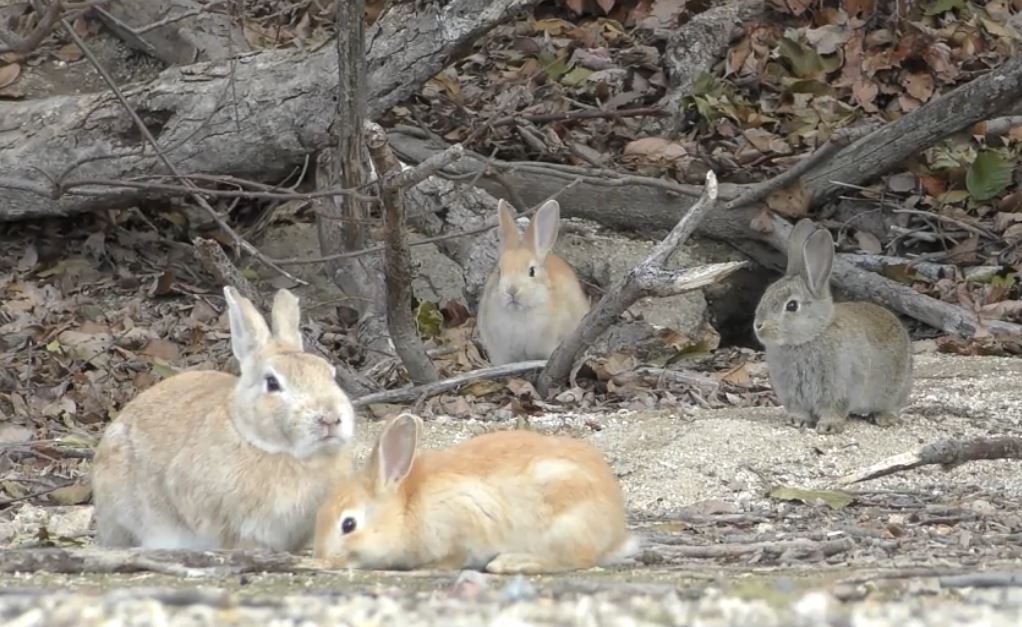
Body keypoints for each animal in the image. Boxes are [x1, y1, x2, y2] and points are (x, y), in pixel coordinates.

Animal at [312, 414, 637, 575]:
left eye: (349, 525)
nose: (324, 559)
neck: (405, 509)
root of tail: (616, 535)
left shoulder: (461, 523)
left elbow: (454, 557)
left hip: (562, 528)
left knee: (576, 560)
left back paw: (508, 563)